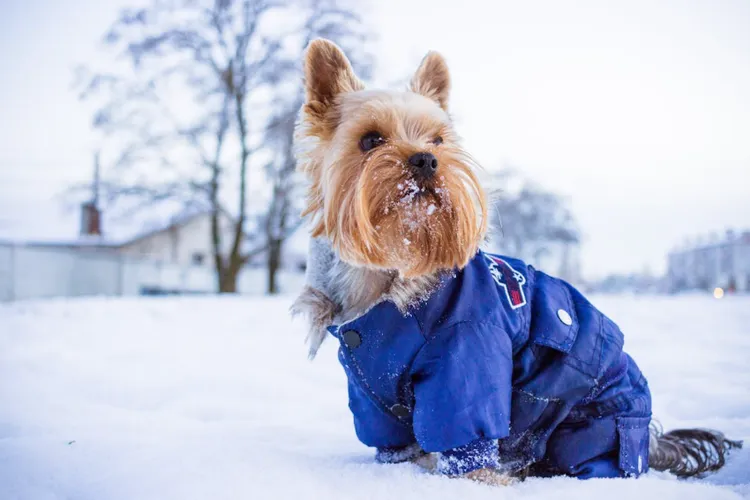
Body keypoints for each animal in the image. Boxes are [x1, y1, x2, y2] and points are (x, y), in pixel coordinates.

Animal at [290, 38, 744, 484]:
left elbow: (468, 438)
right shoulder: (369, 390)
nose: (426, 159)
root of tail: (650, 439)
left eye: (438, 141)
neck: (392, 274)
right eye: (370, 140)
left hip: (591, 426)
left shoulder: (466, 355)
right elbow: (393, 444)